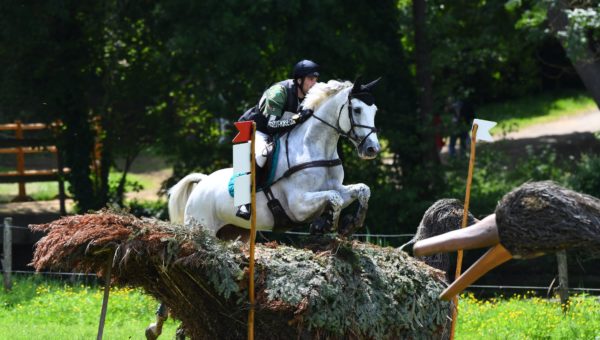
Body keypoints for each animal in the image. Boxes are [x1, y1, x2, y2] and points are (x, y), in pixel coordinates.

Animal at [165, 78, 380, 240]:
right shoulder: (298, 205)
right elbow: (334, 198)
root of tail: (202, 183)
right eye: (357, 110)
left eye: (375, 111)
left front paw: (352, 223)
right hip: (202, 225)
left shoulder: (337, 188)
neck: (317, 149)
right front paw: (326, 224)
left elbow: (362, 190)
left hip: (235, 233)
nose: (373, 149)